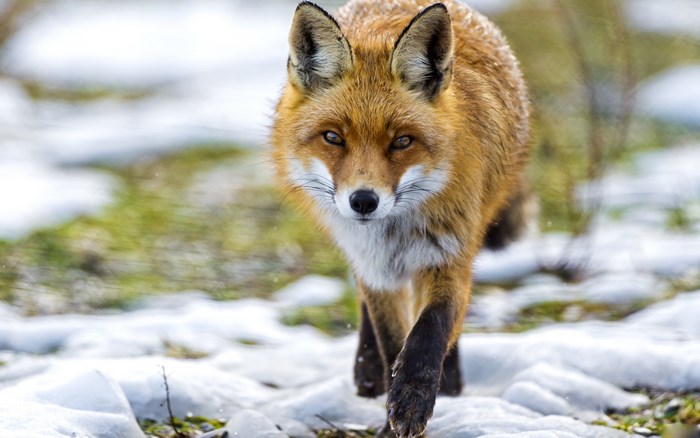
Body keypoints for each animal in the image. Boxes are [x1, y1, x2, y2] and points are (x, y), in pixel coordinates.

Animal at [270, 0, 530, 436]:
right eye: (333, 137)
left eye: (402, 141)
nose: (363, 201)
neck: (395, 232)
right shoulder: (377, 269)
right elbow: (392, 338)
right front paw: (391, 410)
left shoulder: (450, 255)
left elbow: (430, 330)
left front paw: (413, 399)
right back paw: (368, 370)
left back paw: (450, 380)